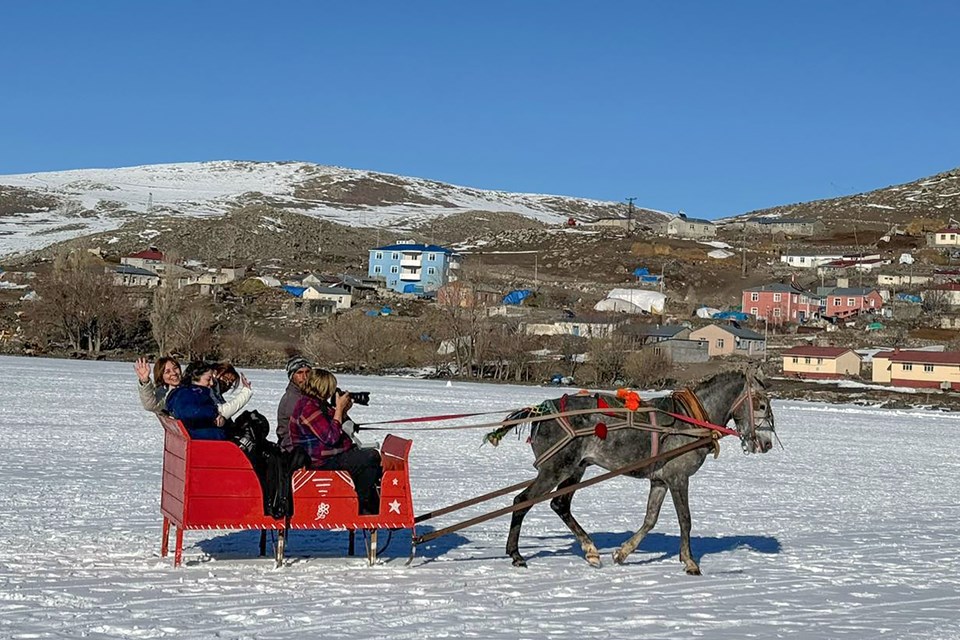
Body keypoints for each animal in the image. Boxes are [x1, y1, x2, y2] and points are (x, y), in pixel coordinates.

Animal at [506, 368, 776, 572]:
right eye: (762, 405)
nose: (767, 444)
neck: (692, 420)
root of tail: (539, 412)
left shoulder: (660, 480)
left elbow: (650, 519)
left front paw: (623, 553)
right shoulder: (678, 478)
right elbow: (685, 520)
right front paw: (690, 562)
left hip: (576, 468)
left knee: (559, 504)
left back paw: (590, 550)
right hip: (554, 469)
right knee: (522, 501)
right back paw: (516, 554)